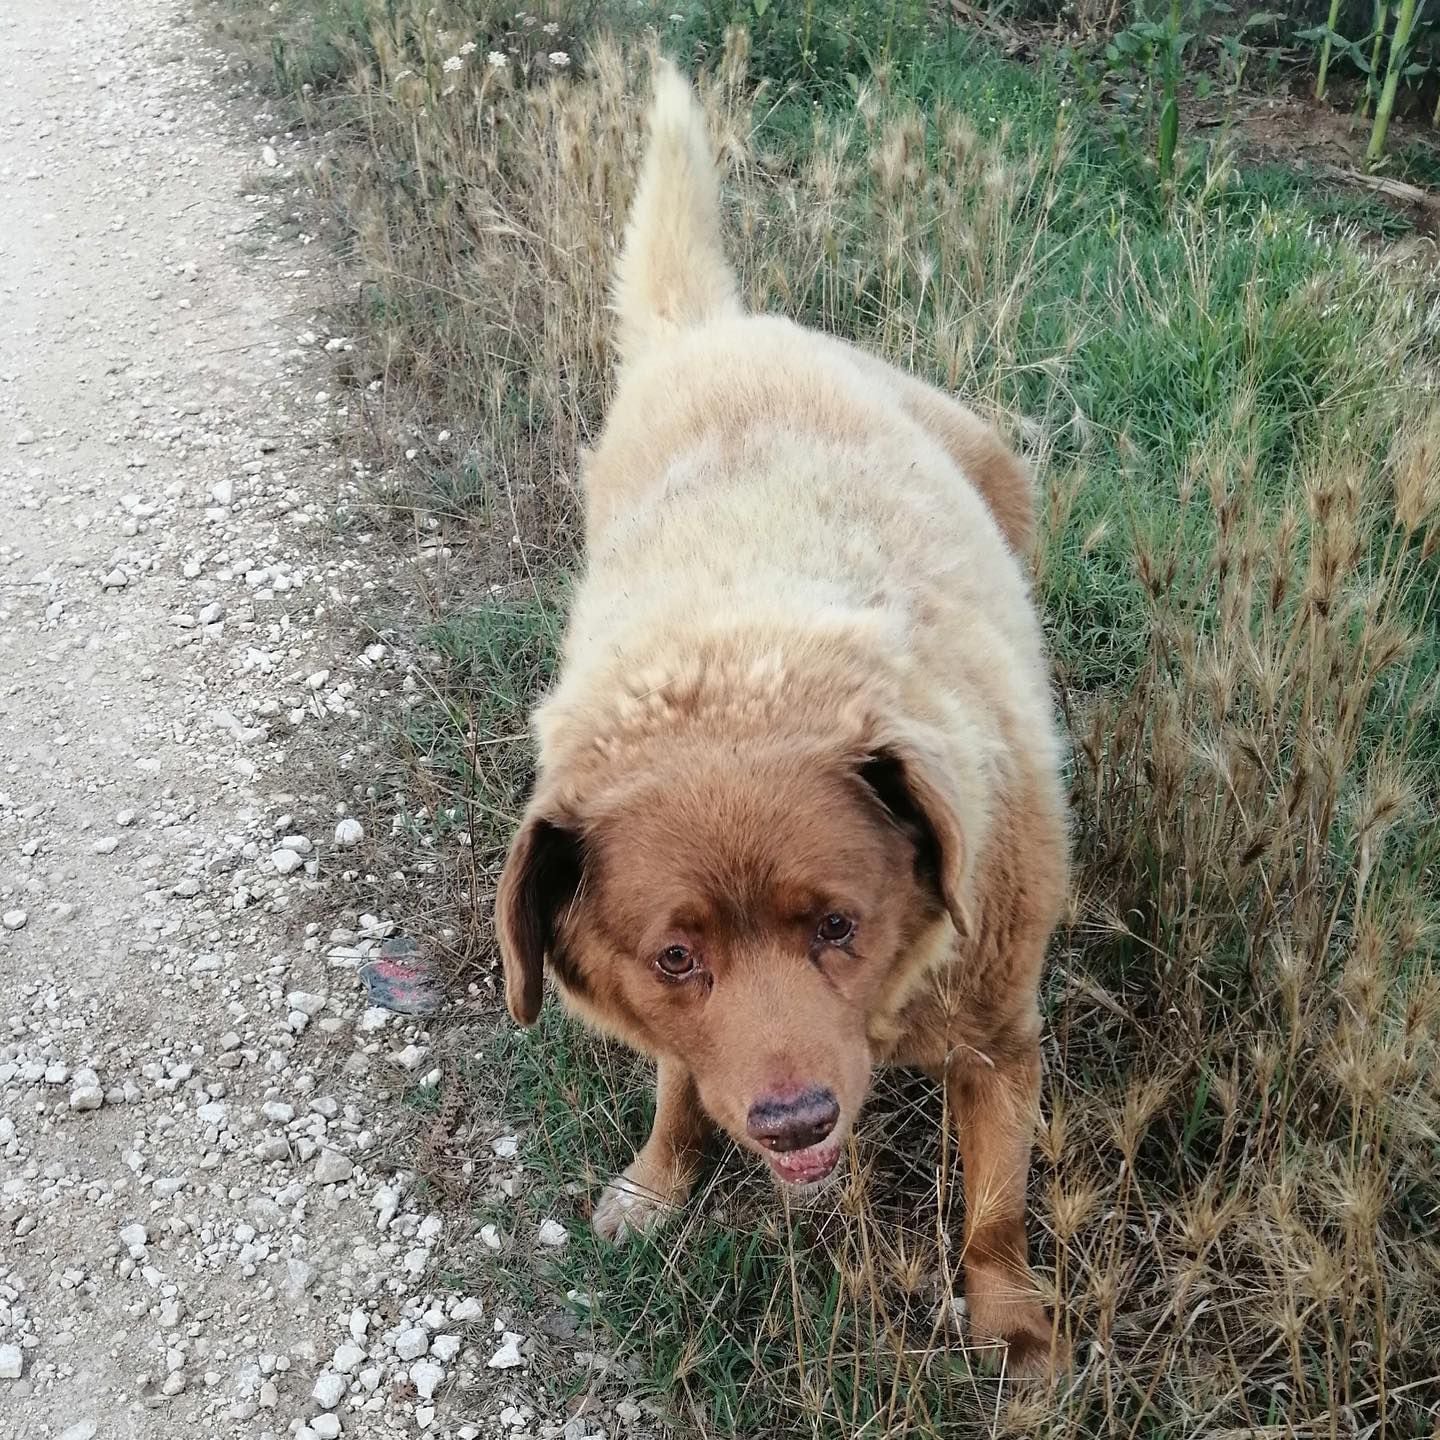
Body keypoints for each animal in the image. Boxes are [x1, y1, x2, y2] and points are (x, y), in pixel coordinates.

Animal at [495, 61, 1071, 1376]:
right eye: (676, 956)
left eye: (839, 927)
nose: (798, 1119)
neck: (741, 676)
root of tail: (718, 330)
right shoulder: (673, 1016)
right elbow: (675, 1080)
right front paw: (660, 1178)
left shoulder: (999, 1037)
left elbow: (998, 1207)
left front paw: (1011, 1323)